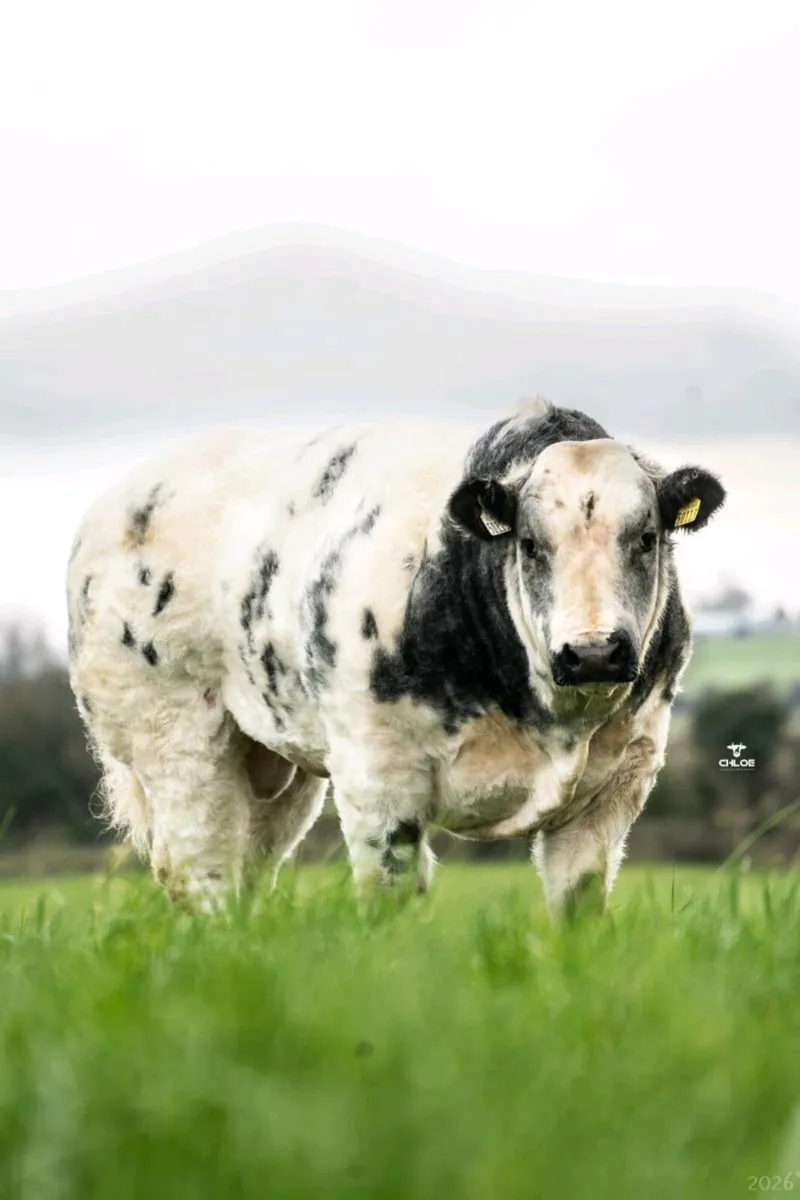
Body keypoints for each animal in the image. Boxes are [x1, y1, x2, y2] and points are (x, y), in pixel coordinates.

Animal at [66, 399, 725, 917]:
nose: (592, 652)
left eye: (646, 538)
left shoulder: (618, 783)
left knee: (249, 867)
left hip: (276, 766)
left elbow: (578, 904)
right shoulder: (377, 776)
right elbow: (389, 894)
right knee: (203, 871)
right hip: (174, 740)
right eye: (531, 544)